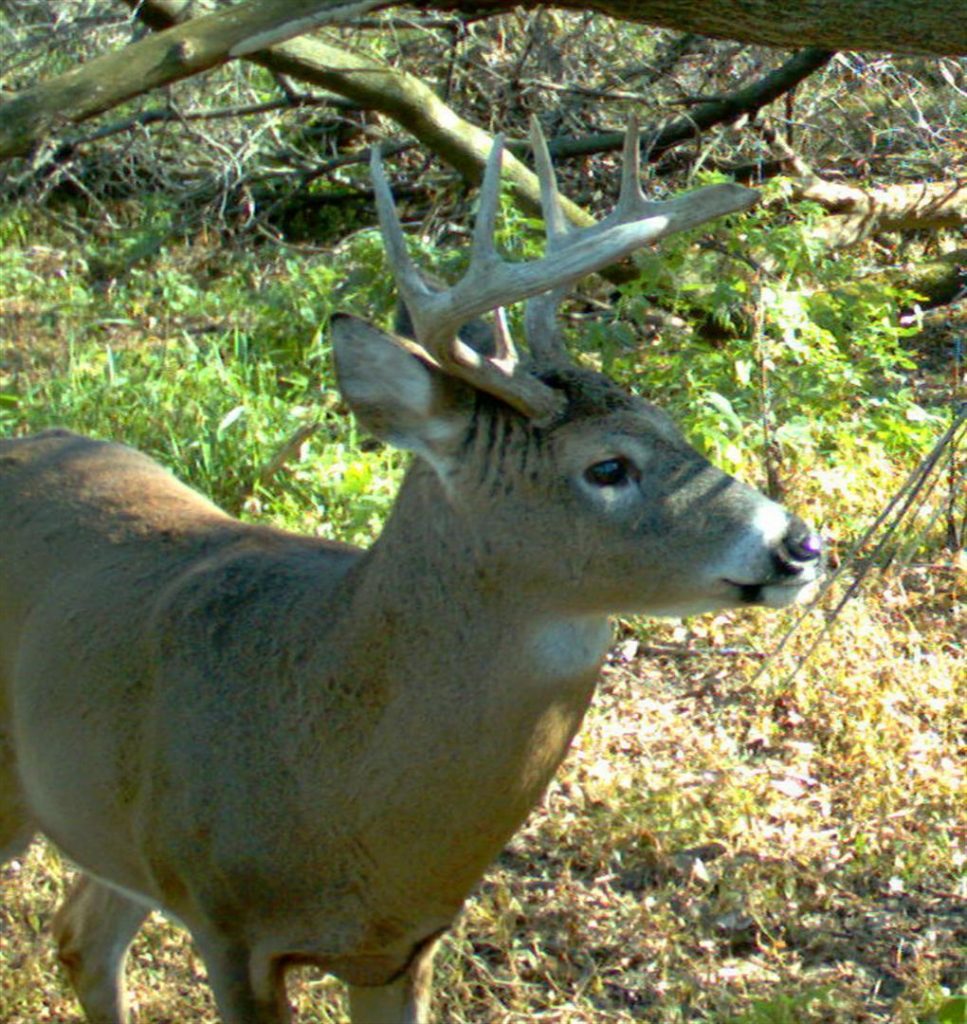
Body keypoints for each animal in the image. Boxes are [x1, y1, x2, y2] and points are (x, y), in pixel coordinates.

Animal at [0, 116, 823, 1019]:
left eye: (670, 423)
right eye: (607, 466)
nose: (799, 543)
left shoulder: (403, 944)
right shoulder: (226, 921)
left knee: (81, 935)